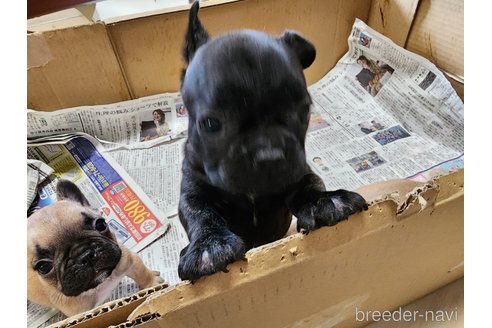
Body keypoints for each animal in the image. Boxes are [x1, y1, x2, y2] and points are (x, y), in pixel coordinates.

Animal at [177, 1, 366, 280]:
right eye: (211, 124)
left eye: (305, 110)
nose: (269, 156)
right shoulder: (192, 189)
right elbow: (199, 213)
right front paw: (209, 245)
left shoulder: (298, 172)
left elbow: (310, 184)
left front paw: (326, 200)